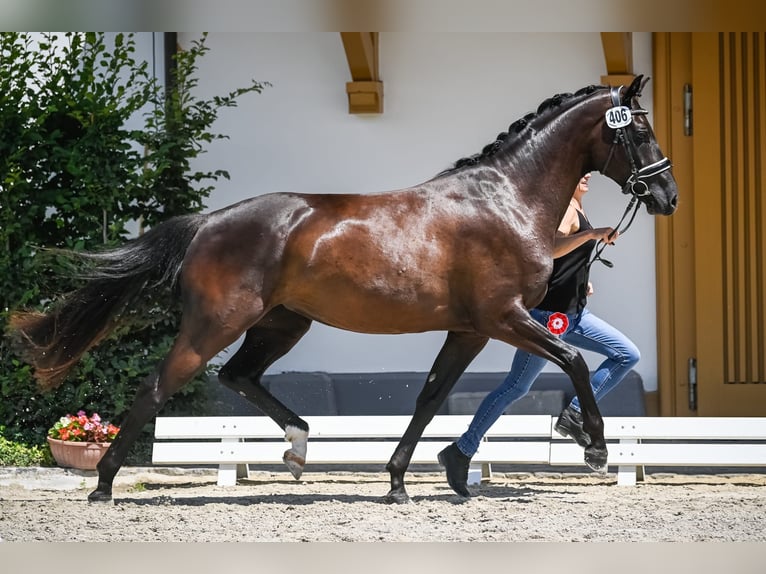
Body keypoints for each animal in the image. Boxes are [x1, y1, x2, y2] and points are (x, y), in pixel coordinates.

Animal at [9, 75, 678, 504]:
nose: (668, 196)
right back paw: (103, 487)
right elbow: (574, 362)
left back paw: (299, 448)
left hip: (283, 322)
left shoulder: (468, 329)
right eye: (640, 129)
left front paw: (404, 481)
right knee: (159, 386)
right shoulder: (504, 318)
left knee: (239, 376)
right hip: (215, 325)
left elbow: (430, 398)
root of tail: (207, 223)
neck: (504, 200)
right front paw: (595, 448)